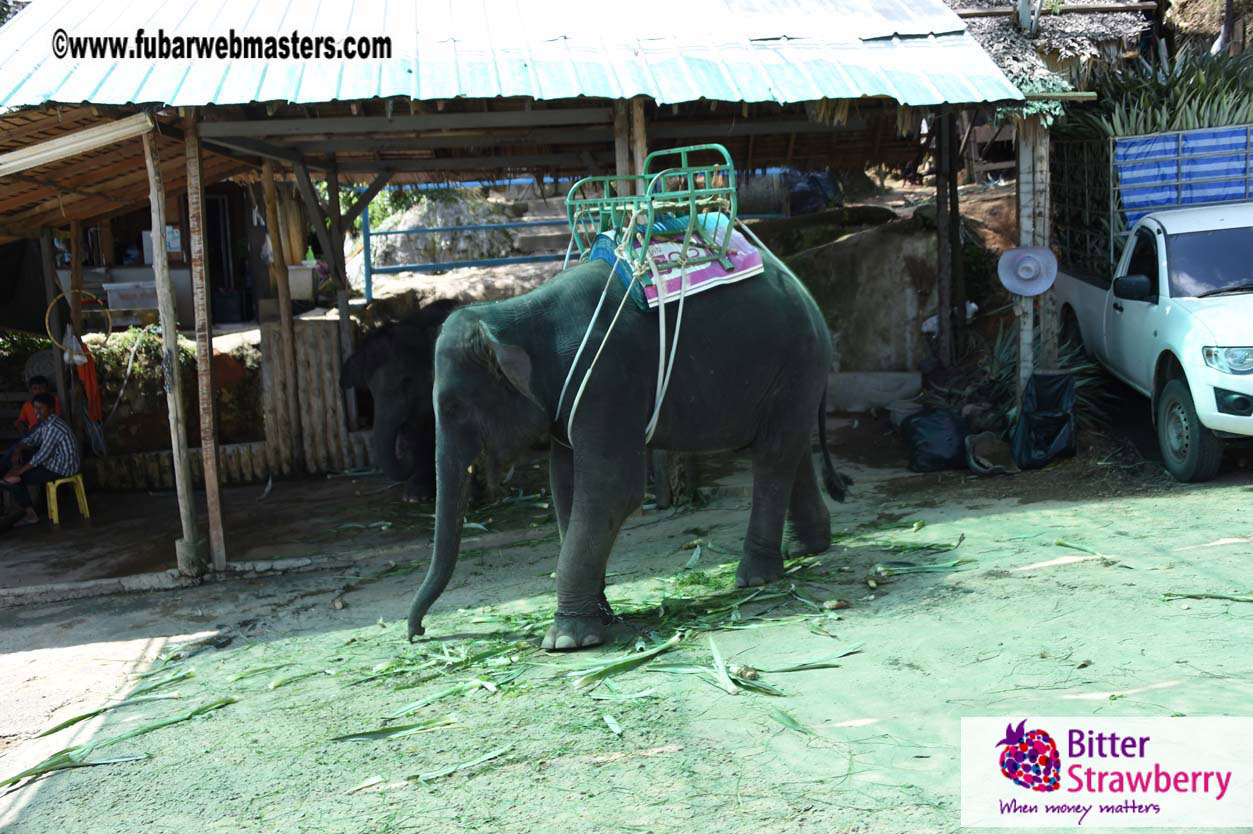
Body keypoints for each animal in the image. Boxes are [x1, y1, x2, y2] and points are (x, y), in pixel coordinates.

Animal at [407, 257, 850, 651]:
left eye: (452, 407)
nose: (418, 633)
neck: (515, 312)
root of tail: (807, 293)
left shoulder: (605, 380)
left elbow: (612, 488)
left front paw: (567, 641)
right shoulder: (568, 403)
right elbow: (565, 487)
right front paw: (601, 616)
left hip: (795, 363)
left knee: (773, 454)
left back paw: (755, 579)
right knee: (788, 447)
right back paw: (804, 549)